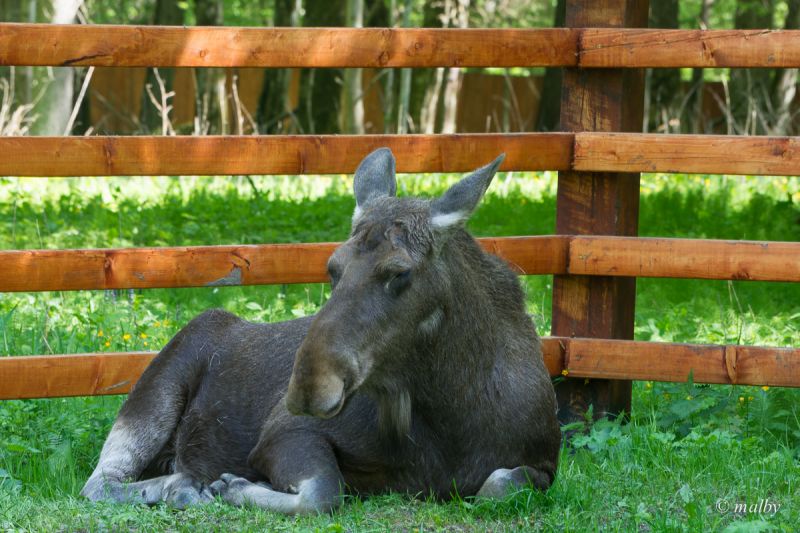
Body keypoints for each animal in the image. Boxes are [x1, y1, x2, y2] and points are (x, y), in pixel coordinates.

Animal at [79, 148, 556, 512]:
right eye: (332, 267)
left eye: (399, 272)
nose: (308, 386)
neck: (455, 413)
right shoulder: (284, 431)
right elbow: (323, 492)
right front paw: (232, 485)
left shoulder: (546, 463)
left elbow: (499, 484)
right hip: (158, 389)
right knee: (99, 481)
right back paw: (177, 486)